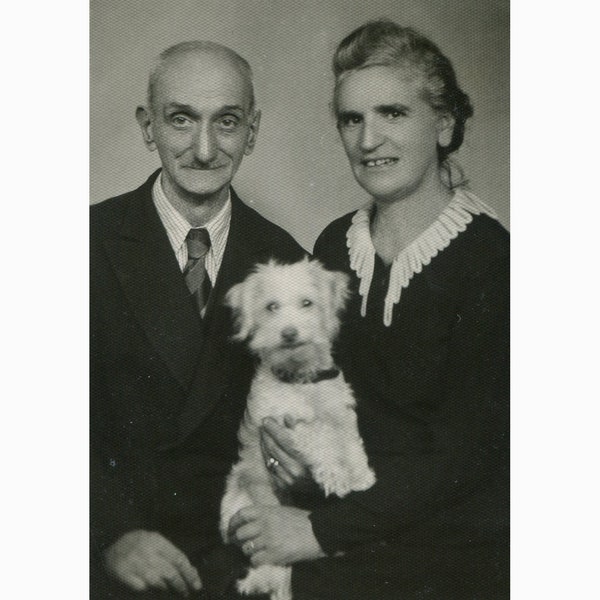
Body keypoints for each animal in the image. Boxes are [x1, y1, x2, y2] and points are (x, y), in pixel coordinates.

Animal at [220, 258, 376, 600]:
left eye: (307, 303)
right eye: (271, 307)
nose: (289, 333)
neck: (301, 380)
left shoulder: (339, 410)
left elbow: (349, 441)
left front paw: (360, 474)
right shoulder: (282, 424)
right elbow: (319, 436)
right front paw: (336, 475)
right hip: (239, 510)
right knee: (266, 562)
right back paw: (261, 579)